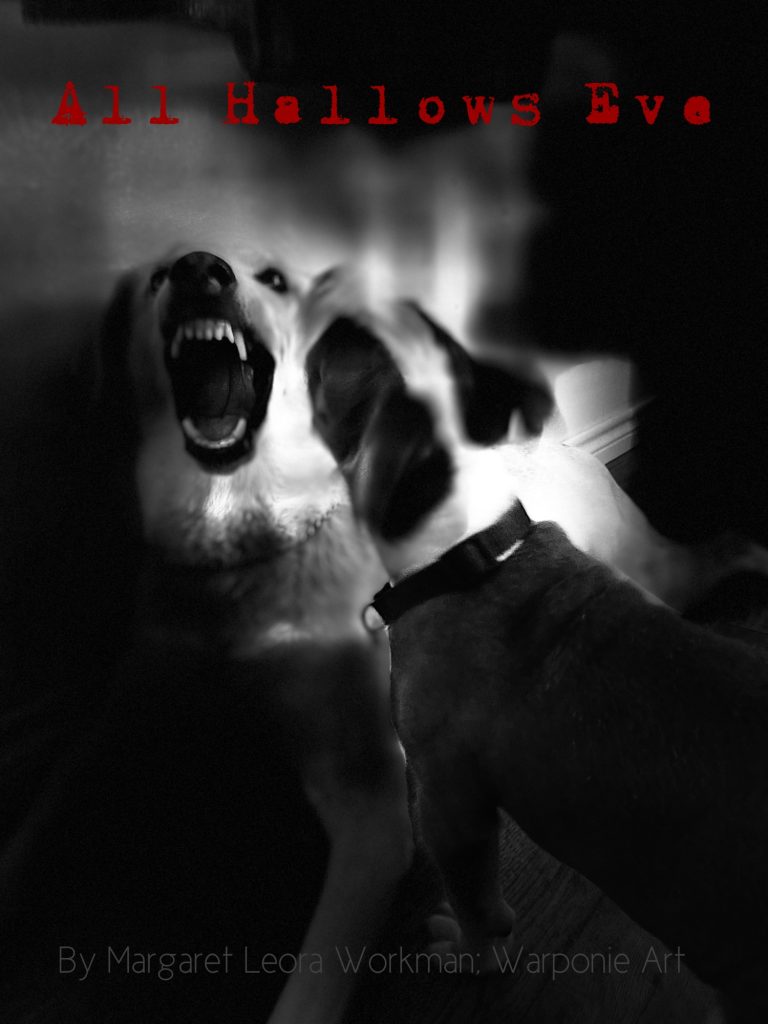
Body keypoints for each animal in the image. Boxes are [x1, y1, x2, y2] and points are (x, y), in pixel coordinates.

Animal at [8, 247, 413, 1024]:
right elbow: (28, 833)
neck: (235, 542)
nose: (201, 268)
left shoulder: (371, 801)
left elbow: (312, 988)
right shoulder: (110, 727)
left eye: (276, 280)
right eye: (158, 277)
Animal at [302, 275, 768, 1023]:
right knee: (732, 545)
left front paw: (470, 956)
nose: (335, 290)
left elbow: (477, 905)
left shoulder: (450, 805)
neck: (472, 549)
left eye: (333, 376)